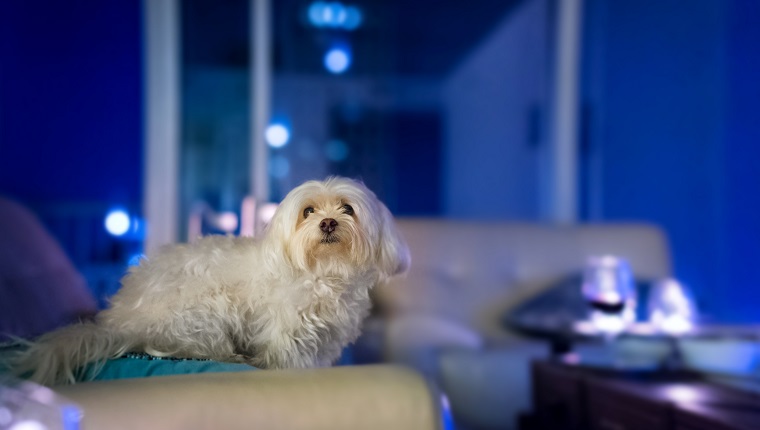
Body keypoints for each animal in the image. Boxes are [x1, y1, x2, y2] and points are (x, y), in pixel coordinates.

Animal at [11, 176, 406, 384]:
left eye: (347, 208)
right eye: (308, 211)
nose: (327, 222)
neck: (324, 273)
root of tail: (118, 321)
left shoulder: (324, 341)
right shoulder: (286, 335)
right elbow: (287, 361)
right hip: (205, 311)